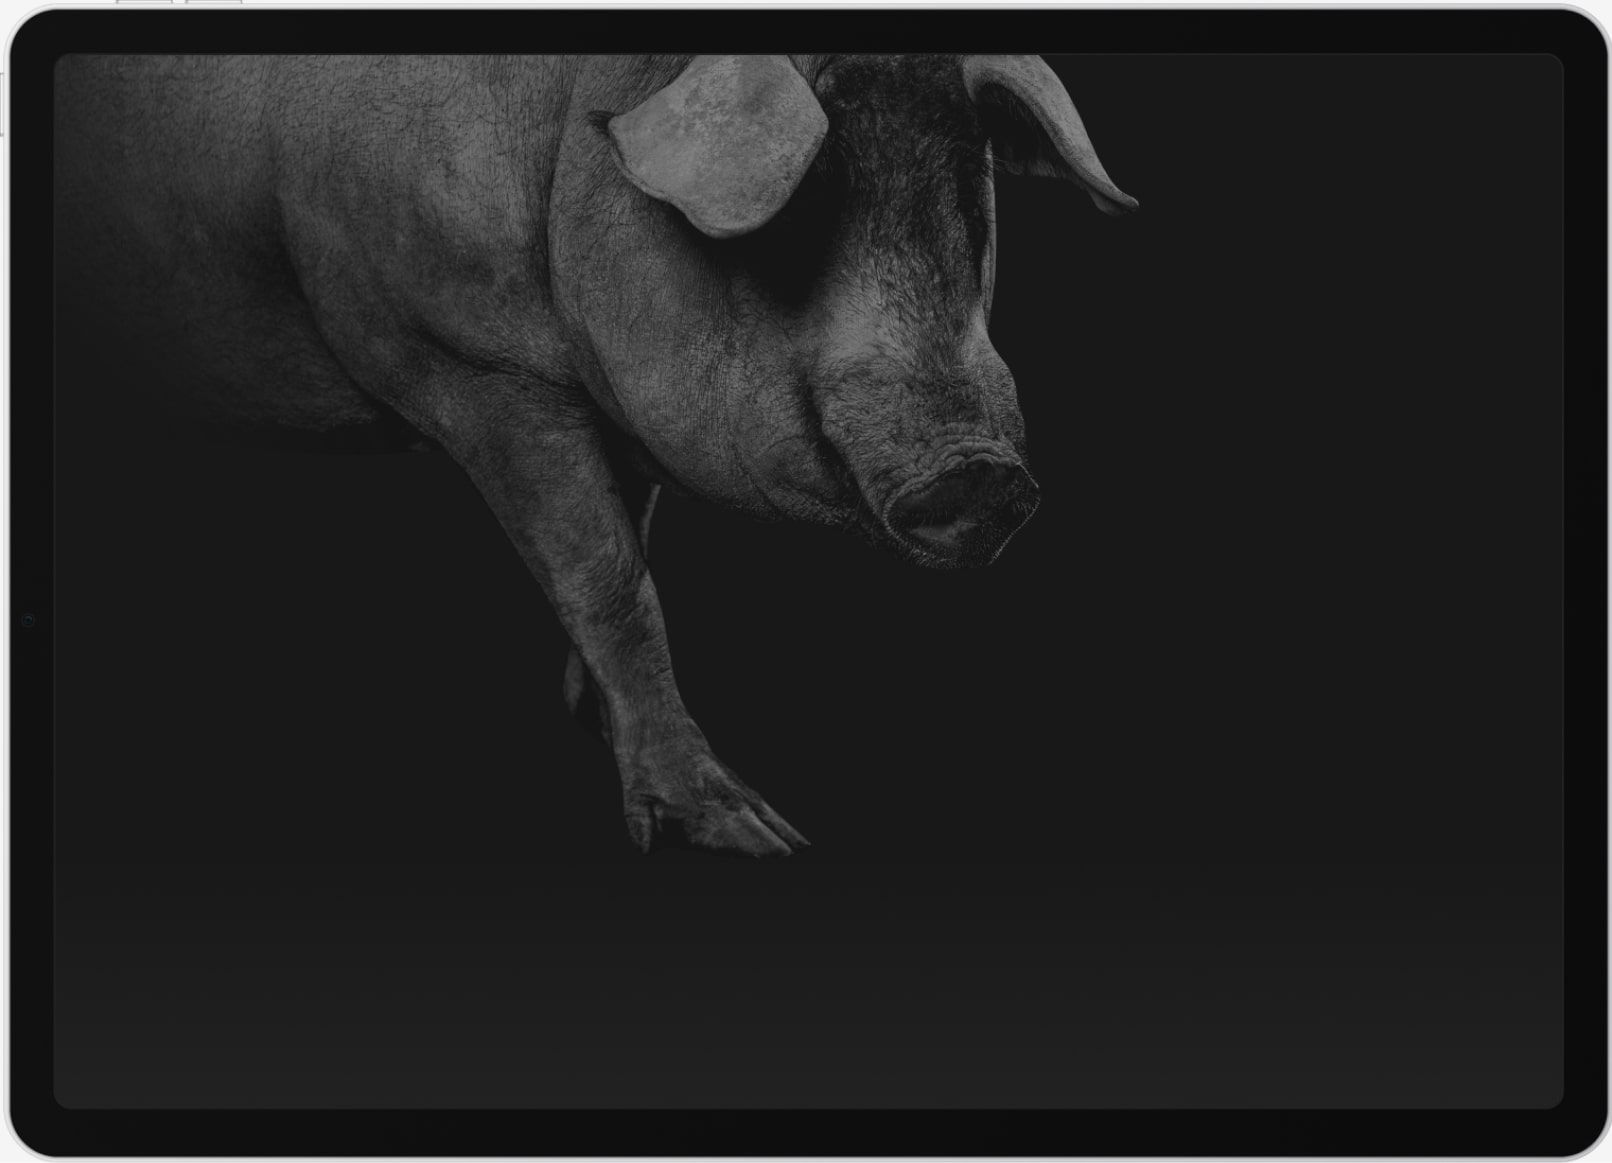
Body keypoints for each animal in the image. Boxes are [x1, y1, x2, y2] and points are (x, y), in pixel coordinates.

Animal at [53, 53, 1136, 856]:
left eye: (970, 205)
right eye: (798, 212)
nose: (985, 472)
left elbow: (631, 544)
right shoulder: (472, 364)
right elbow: (607, 576)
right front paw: (751, 834)